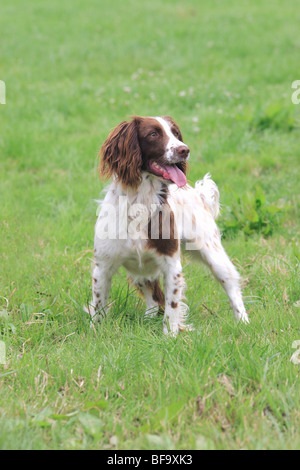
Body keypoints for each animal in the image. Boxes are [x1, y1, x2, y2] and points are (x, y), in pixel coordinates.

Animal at [88, 114, 250, 334]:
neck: (141, 202)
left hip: (213, 254)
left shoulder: (171, 265)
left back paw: (243, 322)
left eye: (175, 133)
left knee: (232, 285)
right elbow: (98, 306)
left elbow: (172, 307)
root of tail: (196, 193)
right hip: (140, 272)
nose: (184, 150)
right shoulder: (103, 266)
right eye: (153, 134)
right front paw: (95, 332)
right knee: (153, 298)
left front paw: (171, 335)